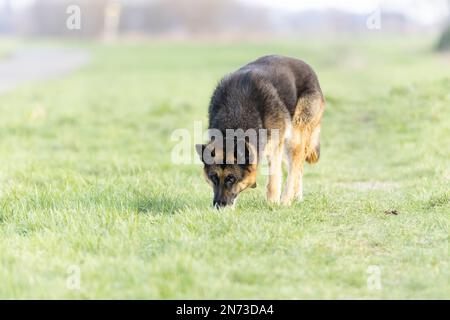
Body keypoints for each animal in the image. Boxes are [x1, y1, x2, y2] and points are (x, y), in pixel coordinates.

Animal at [195, 55, 326, 209]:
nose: (219, 206)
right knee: (297, 167)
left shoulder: (275, 147)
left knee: (294, 169)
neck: (236, 111)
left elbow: (273, 180)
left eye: (231, 178)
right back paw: (297, 198)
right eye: (213, 178)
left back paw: (286, 201)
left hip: (295, 138)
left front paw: (272, 204)